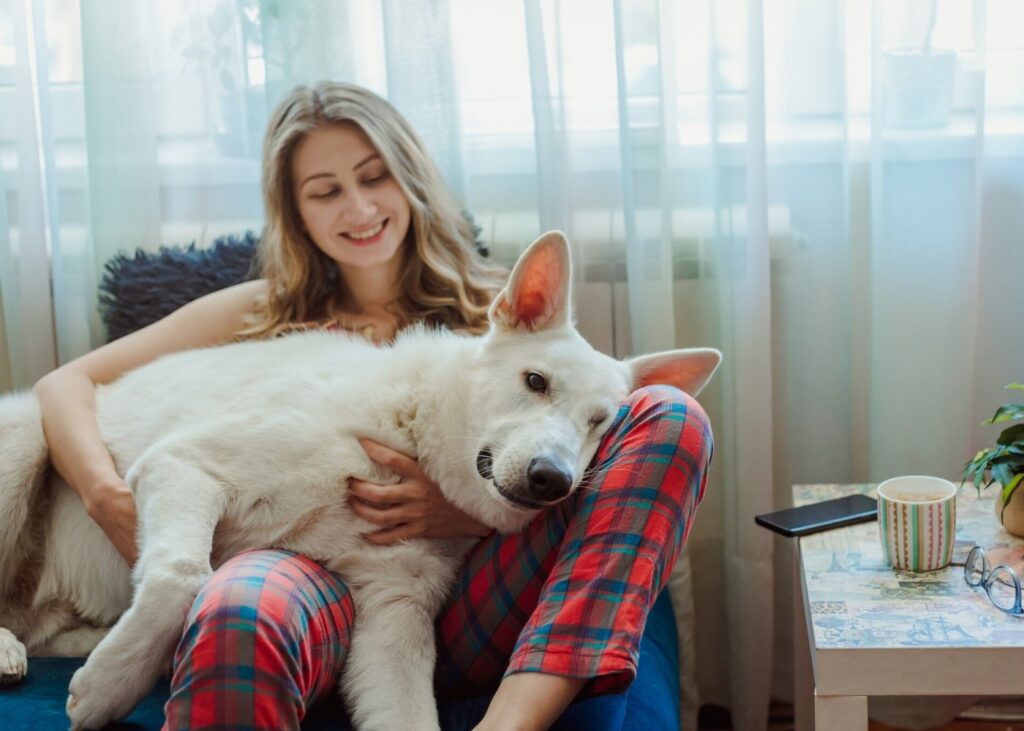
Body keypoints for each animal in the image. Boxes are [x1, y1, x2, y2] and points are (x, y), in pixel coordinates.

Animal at [0, 230, 720, 724]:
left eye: (599, 423)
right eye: (536, 381)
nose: (553, 480)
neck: (405, 436)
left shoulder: (393, 621)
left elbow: (408, 714)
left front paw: (116, 671)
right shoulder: (183, 463)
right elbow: (182, 573)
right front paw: (110, 687)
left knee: (43, 630)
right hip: (26, 439)